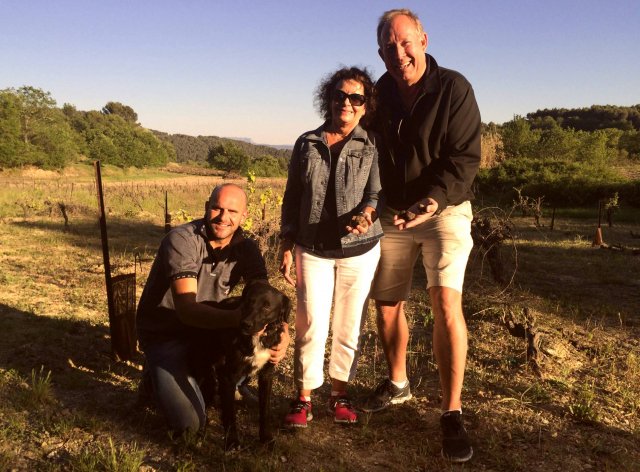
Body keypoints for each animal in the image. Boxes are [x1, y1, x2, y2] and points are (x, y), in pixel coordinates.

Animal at [205, 278, 290, 452]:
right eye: (249, 301)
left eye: (266, 306)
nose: (245, 324)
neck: (257, 338)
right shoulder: (228, 375)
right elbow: (230, 414)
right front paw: (232, 441)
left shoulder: (266, 374)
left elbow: (265, 410)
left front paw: (266, 438)